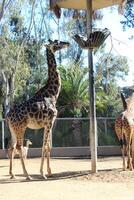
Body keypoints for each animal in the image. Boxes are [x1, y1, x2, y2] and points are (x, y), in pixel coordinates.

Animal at [5, 39, 69, 180]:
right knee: (19, 147)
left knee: (12, 147)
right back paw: (27, 175)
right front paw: (42, 173)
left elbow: (49, 147)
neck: (53, 94)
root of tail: (8, 116)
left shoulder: (47, 124)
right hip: (21, 127)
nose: (67, 43)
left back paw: (13, 174)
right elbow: (44, 146)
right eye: (57, 42)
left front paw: (49, 172)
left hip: (13, 129)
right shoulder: (49, 122)